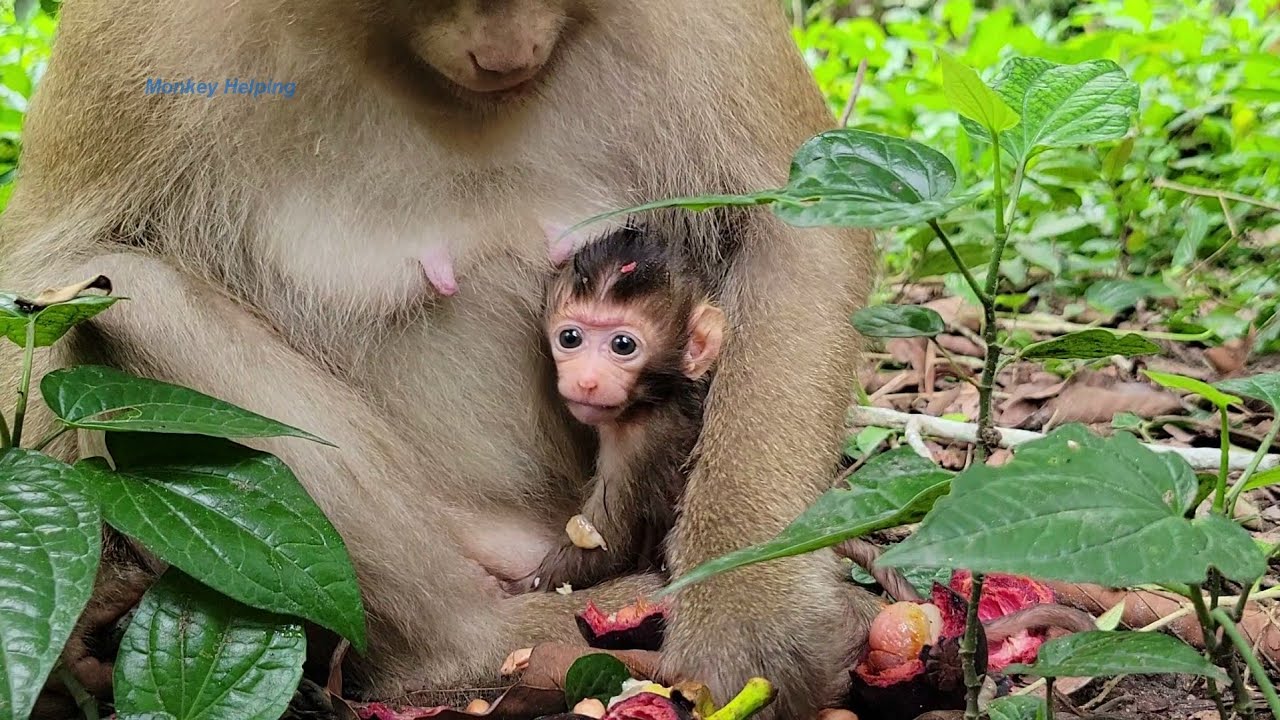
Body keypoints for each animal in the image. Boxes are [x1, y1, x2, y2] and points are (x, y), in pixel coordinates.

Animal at [513, 225, 725, 594]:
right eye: (570, 338)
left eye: (623, 345)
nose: (587, 381)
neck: (657, 399)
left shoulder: (635, 445)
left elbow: (606, 544)